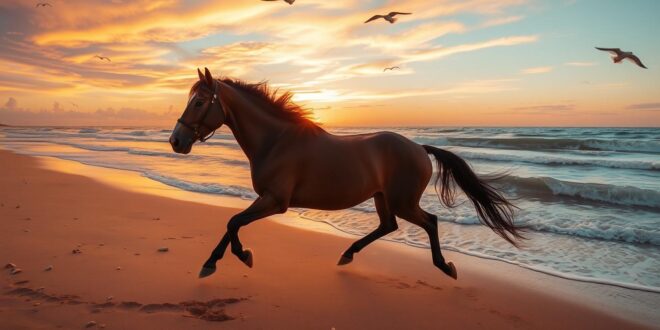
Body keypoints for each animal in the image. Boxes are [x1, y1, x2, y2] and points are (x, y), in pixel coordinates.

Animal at [171, 68, 524, 280]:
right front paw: (213, 261)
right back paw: (347, 254)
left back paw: (445, 267)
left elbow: (234, 222)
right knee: (388, 226)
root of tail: (419, 148)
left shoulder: (274, 200)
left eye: (199, 102)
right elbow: (232, 223)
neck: (277, 140)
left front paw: (239, 257)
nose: (176, 141)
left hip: (403, 202)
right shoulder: (267, 200)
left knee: (429, 222)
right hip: (383, 198)